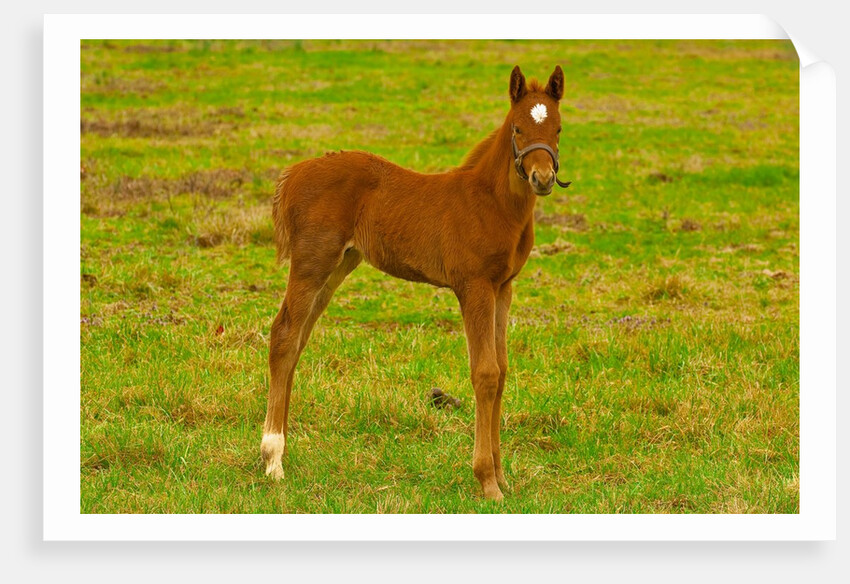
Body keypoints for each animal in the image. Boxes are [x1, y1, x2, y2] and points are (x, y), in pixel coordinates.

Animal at [261, 65, 569, 501]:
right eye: (518, 128)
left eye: (558, 128)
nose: (542, 177)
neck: (490, 203)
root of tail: (292, 174)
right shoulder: (473, 286)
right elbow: (485, 373)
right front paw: (487, 481)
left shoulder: (503, 287)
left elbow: (503, 369)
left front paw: (503, 476)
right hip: (312, 263)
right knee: (284, 336)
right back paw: (273, 459)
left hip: (339, 264)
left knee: (298, 340)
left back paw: (282, 451)